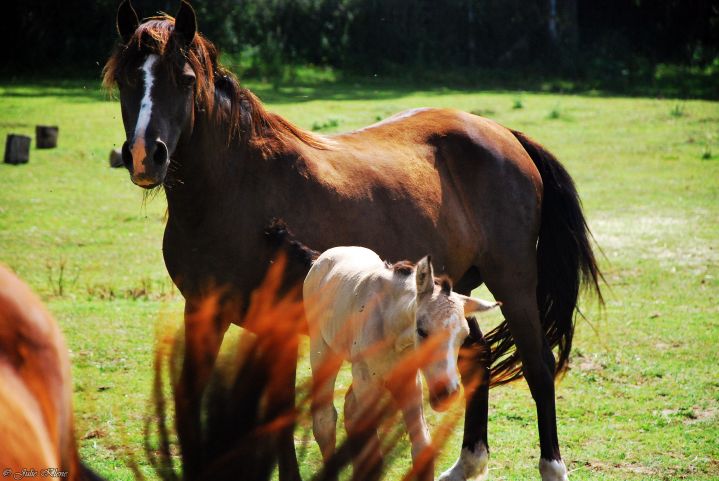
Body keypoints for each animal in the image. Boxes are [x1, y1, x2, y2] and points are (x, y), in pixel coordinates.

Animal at [304, 246, 500, 481]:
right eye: (422, 330)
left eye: (463, 336)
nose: (448, 393)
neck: (391, 328)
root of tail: (326, 255)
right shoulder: (366, 380)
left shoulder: (408, 380)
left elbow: (422, 448)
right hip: (323, 350)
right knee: (324, 420)